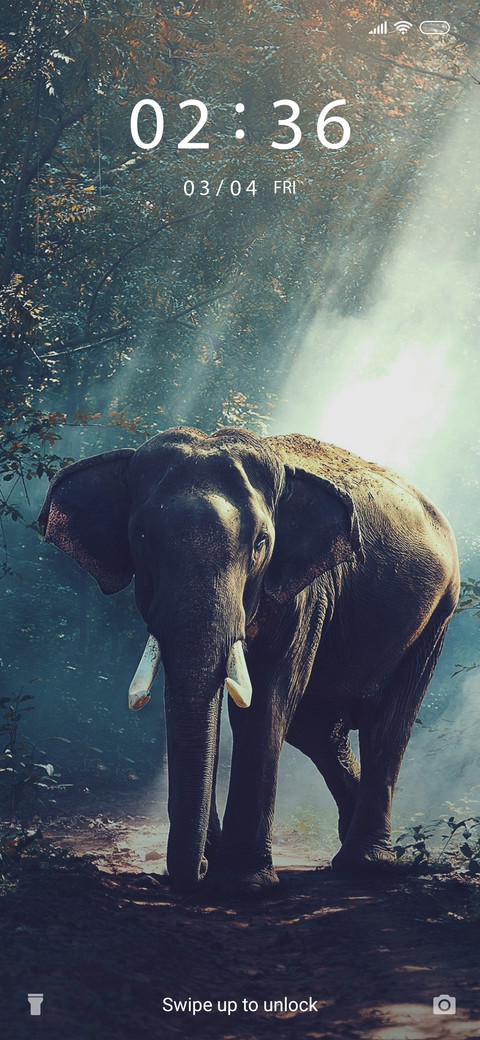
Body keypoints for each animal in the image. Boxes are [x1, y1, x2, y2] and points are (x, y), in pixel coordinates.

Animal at [38, 427, 459, 893]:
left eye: (261, 543)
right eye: (141, 536)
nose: (197, 871)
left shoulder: (305, 593)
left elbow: (267, 701)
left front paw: (243, 883)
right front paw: (215, 864)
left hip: (437, 614)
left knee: (387, 724)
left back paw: (369, 863)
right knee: (317, 729)